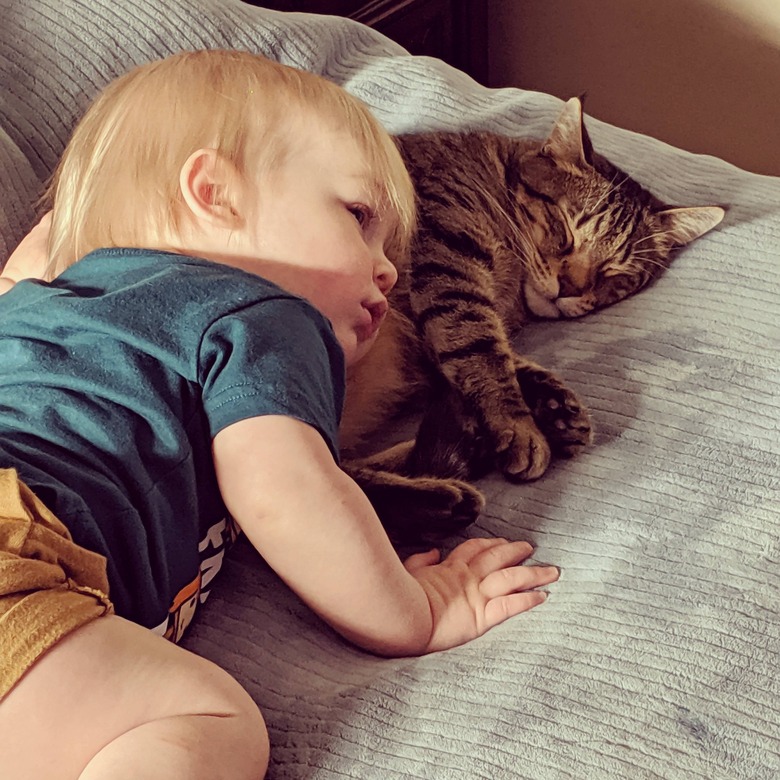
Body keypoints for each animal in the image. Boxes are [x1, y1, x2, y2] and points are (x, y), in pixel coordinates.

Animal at [342, 99, 724, 544]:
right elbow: (481, 351)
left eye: (614, 272)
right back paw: (439, 499)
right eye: (566, 231)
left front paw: (553, 406)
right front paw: (519, 426)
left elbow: (496, 356)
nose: (568, 289)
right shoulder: (448, 264)